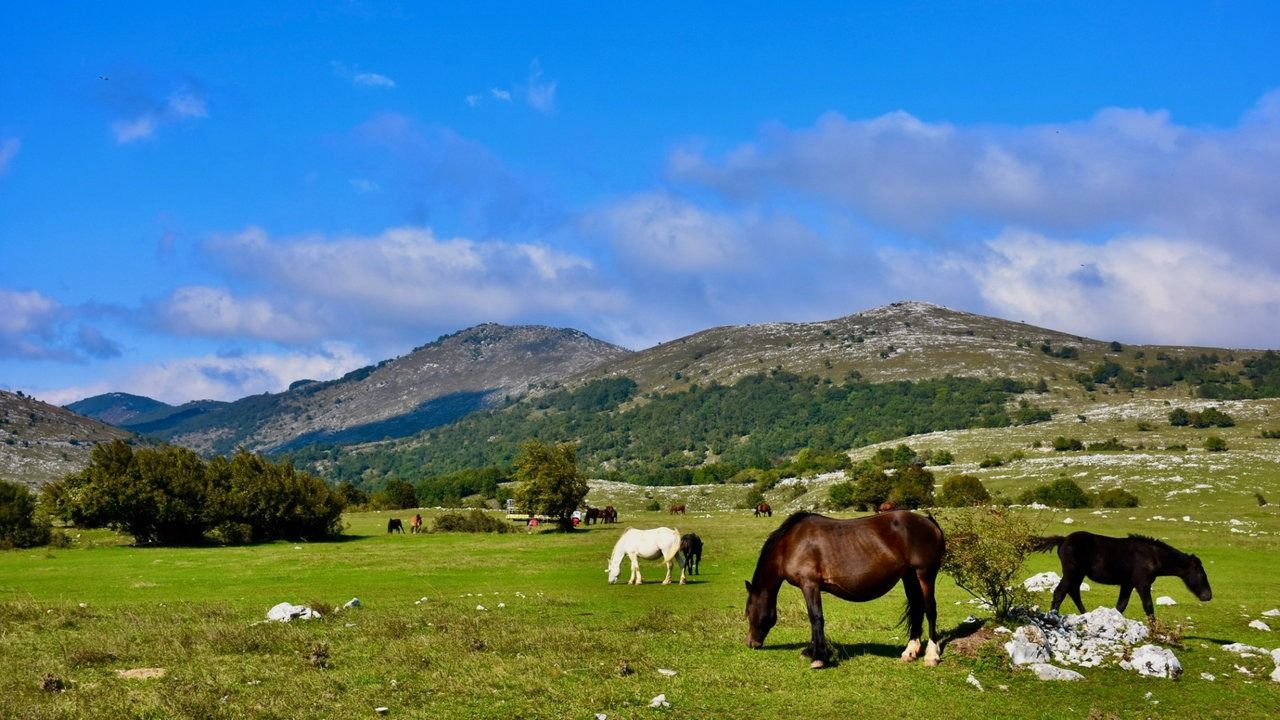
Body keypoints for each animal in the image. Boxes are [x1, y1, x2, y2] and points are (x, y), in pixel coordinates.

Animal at [745, 511, 945, 670]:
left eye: (748, 612)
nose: (751, 643)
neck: (790, 544)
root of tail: (929, 521)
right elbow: (815, 619)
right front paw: (811, 652)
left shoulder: (809, 584)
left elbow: (815, 618)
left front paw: (819, 658)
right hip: (910, 576)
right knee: (917, 608)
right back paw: (909, 652)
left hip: (924, 574)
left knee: (930, 610)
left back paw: (931, 656)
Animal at [1031, 532, 1212, 619]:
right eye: (1200, 573)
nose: (1208, 596)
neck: (1153, 556)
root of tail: (1064, 540)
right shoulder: (1142, 583)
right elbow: (1148, 606)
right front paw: (1156, 634)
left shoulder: (1127, 584)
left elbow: (1121, 606)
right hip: (1072, 572)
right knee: (1060, 592)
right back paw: (1053, 617)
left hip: (1079, 574)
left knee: (1073, 592)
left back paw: (1085, 614)